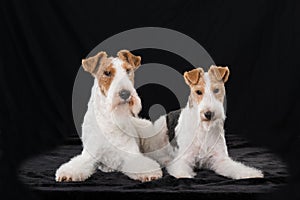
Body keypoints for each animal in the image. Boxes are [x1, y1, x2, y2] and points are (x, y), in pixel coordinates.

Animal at [54, 50, 162, 183]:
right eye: (107, 73)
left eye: (128, 70)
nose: (125, 93)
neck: (110, 119)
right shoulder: (89, 154)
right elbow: (78, 164)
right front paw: (67, 173)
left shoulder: (131, 153)